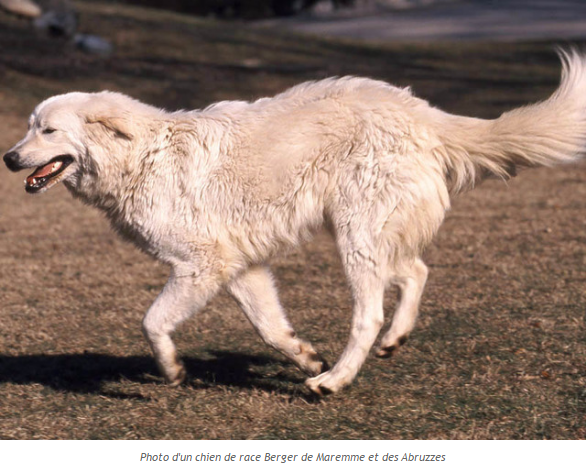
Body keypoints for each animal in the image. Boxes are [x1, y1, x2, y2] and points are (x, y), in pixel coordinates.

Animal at [4, 51, 584, 394]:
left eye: (48, 131)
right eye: (30, 127)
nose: (9, 158)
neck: (143, 154)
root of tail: (420, 111)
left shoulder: (201, 267)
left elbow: (152, 322)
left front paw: (171, 370)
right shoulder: (239, 269)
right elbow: (270, 327)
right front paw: (305, 357)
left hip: (356, 238)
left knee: (370, 313)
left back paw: (336, 380)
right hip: (375, 232)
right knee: (416, 273)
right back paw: (389, 342)